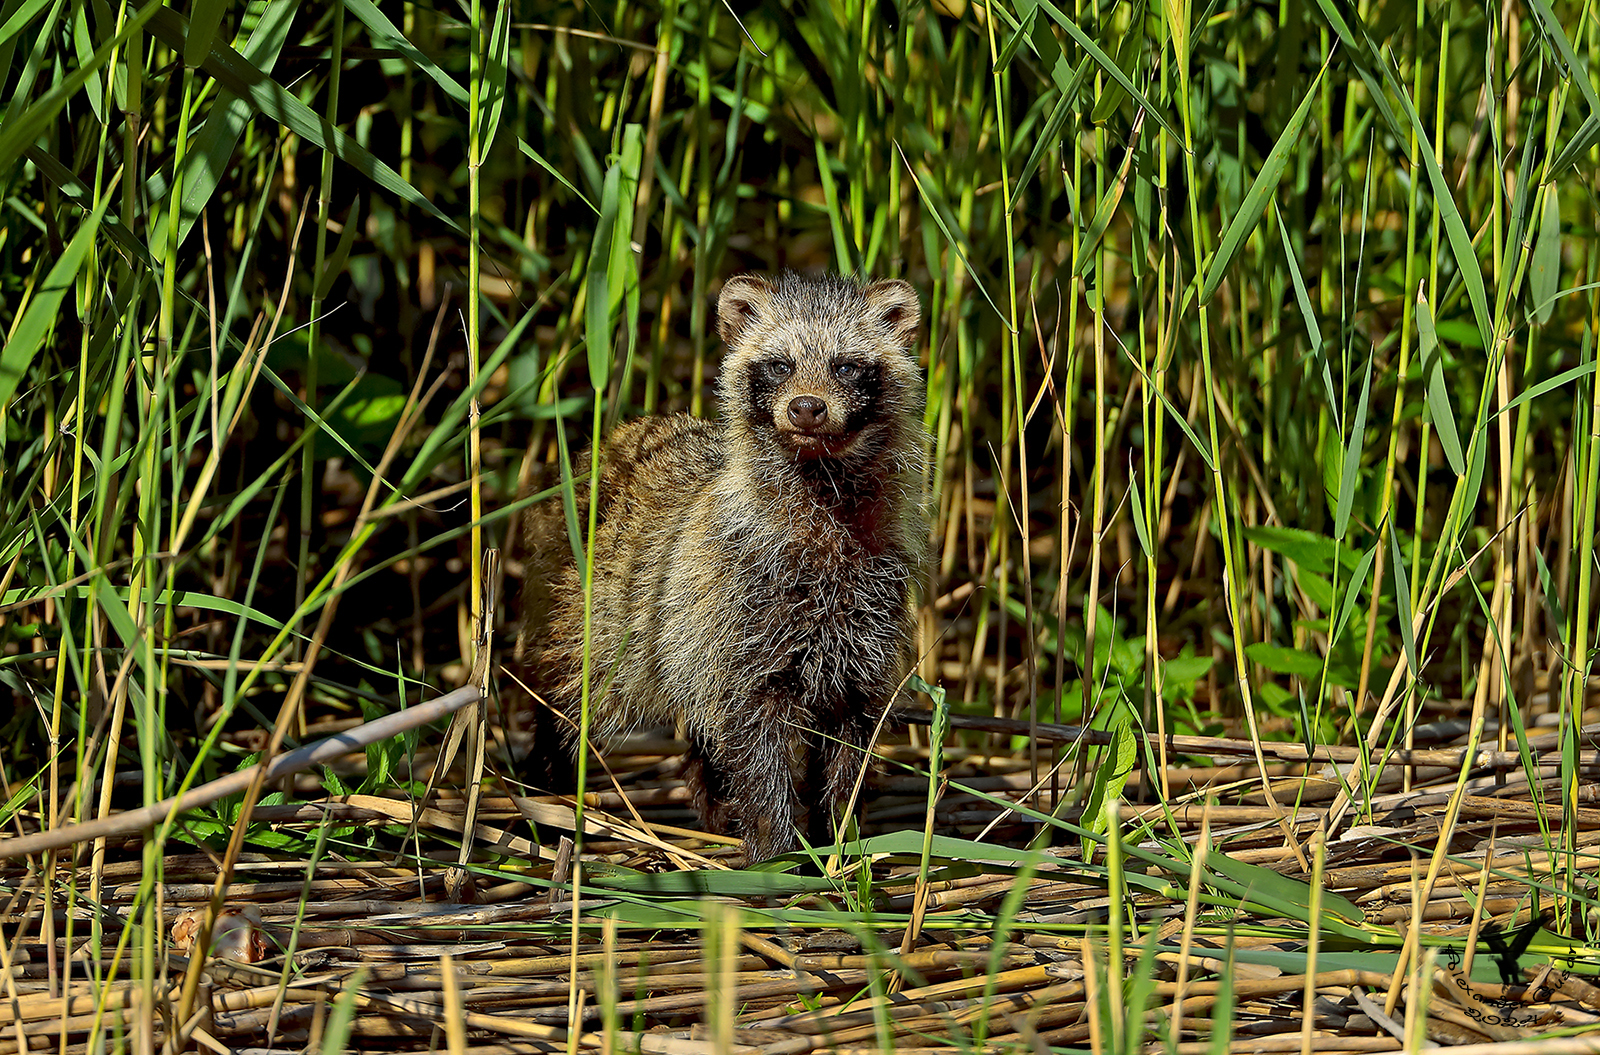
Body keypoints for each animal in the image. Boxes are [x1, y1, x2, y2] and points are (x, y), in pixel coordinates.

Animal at [515, 268, 928, 864]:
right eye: (779, 365)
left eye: (847, 366)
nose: (806, 407)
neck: (820, 480)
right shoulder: (740, 601)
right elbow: (754, 739)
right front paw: (776, 849)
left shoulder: (867, 618)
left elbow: (848, 736)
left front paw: (838, 838)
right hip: (588, 614)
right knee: (570, 699)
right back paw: (549, 793)